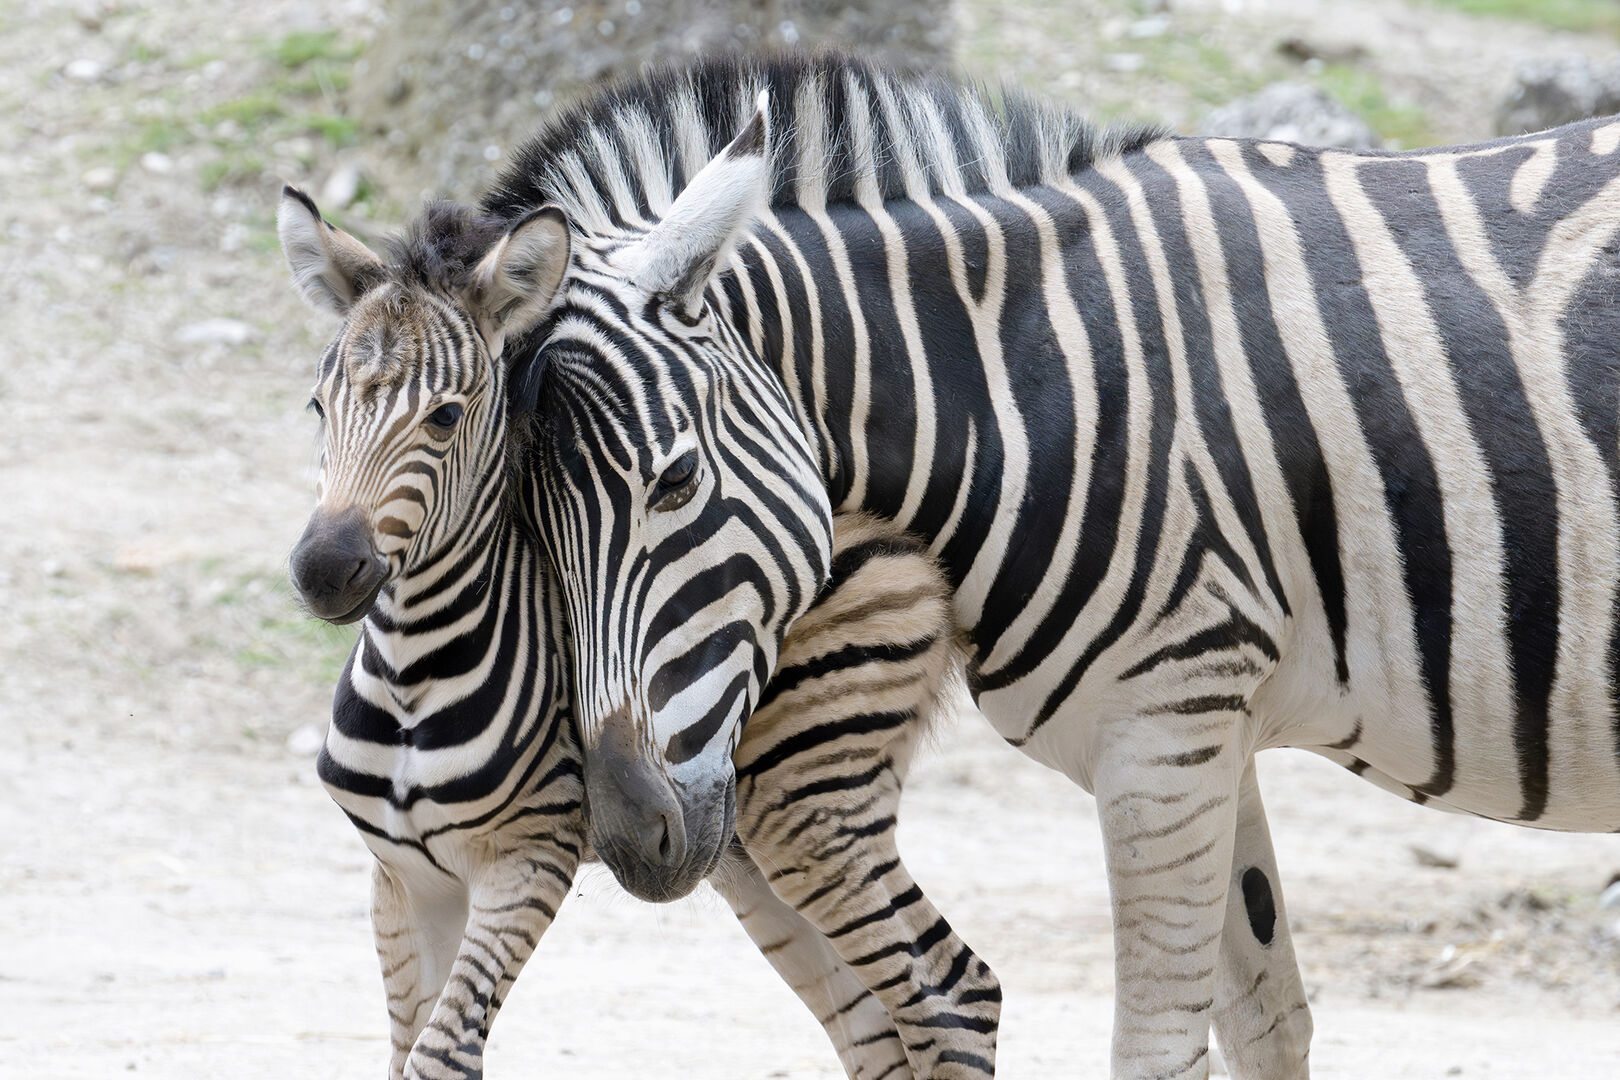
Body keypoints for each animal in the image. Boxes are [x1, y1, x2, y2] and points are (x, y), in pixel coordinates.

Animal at [275, 187, 1001, 1079]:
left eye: (445, 418)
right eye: (319, 406)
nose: (323, 569)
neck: (415, 671)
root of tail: (895, 531)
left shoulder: (527, 859)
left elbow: (441, 1055)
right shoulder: (403, 877)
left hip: (808, 796)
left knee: (951, 990)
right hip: (734, 840)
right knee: (878, 1028)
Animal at [494, 52, 1620, 1078]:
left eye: (677, 479)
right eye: (528, 529)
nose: (630, 836)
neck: (1034, 386)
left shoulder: (1163, 732)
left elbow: (1159, 1053)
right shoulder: (1210, 722)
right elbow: (1266, 1022)